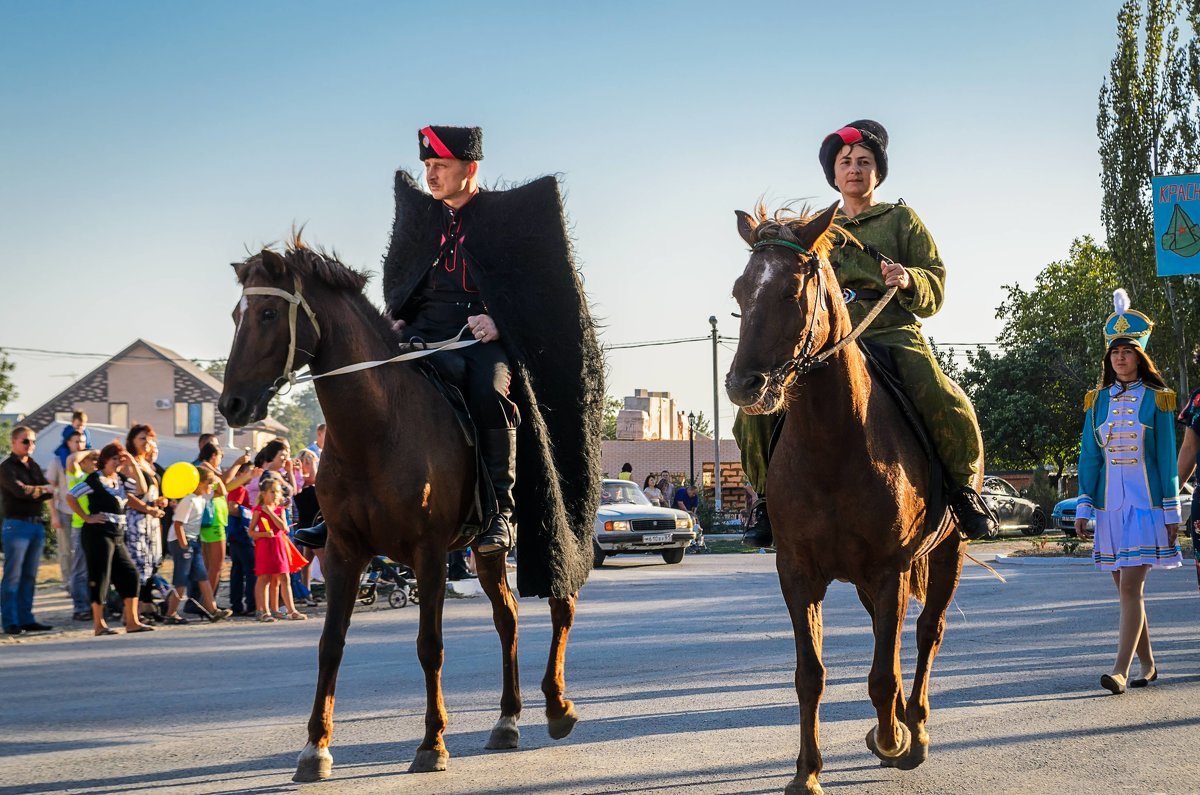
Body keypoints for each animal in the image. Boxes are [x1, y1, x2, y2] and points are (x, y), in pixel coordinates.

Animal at [218, 241, 578, 782]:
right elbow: (330, 644)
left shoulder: (428, 554)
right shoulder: (345, 552)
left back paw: (558, 707)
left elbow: (430, 645)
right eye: (237, 314)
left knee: (560, 604)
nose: (232, 405)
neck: (377, 429)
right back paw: (507, 719)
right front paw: (315, 748)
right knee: (508, 618)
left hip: (543, 532)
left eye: (266, 313)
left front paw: (432, 743)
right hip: (485, 551)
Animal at [720, 204, 974, 795]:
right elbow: (810, 675)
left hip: (945, 553)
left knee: (926, 634)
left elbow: (883, 673)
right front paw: (806, 772)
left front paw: (893, 739)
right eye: (741, 290)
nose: (744, 386)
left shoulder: (889, 569)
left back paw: (913, 728)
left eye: (791, 291)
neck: (833, 440)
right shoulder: (798, 573)